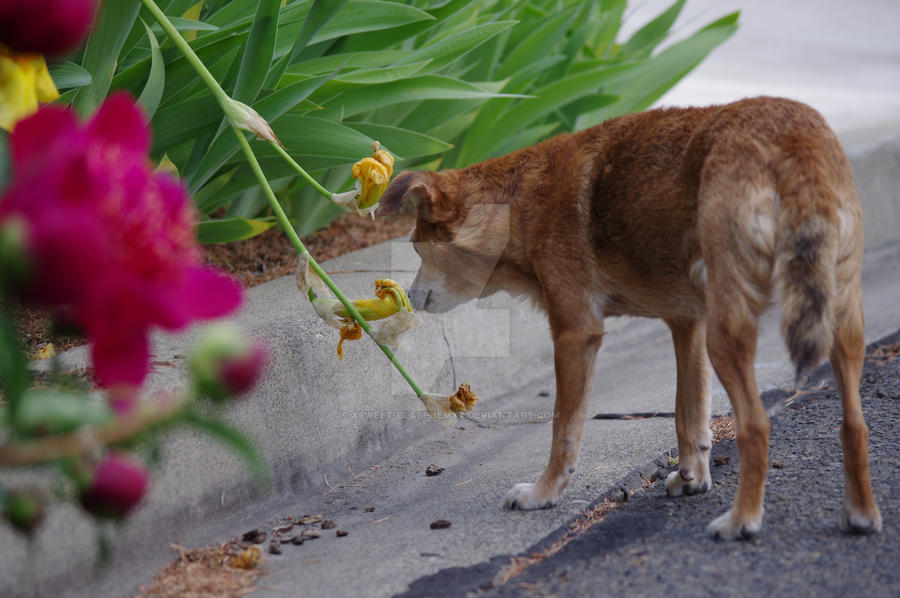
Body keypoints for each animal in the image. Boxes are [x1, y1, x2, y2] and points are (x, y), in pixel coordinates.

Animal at [376, 96, 884, 540]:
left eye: (419, 248)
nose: (411, 297)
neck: (517, 202)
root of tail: (793, 135)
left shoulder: (576, 334)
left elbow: (563, 429)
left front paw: (544, 493)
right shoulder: (688, 325)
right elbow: (688, 414)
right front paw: (693, 476)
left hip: (730, 333)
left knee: (757, 425)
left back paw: (742, 521)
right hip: (837, 320)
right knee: (854, 422)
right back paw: (860, 514)